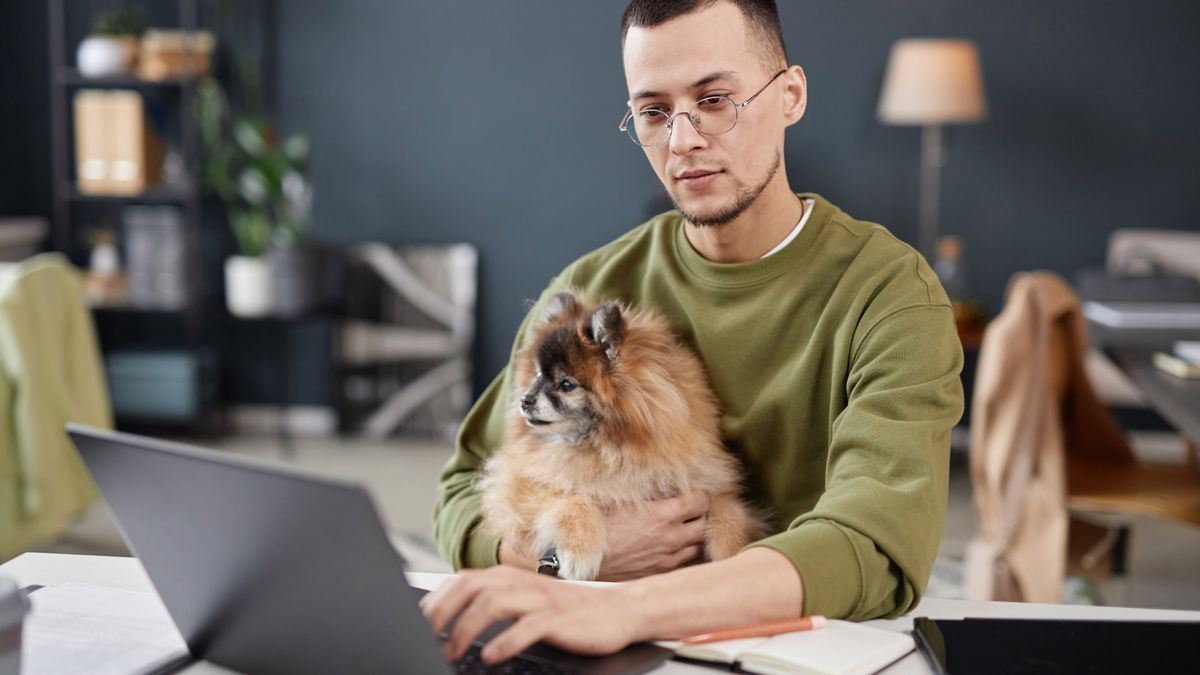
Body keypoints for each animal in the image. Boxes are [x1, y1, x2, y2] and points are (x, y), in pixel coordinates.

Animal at [472, 289, 763, 578]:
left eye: (566, 385)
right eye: (537, 375)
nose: (525, 400)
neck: (610, 449)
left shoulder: (708, 487)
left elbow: (729, 513)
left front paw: (730, 557)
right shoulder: (520, 482)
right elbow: (569, 497)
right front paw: (580, 552)